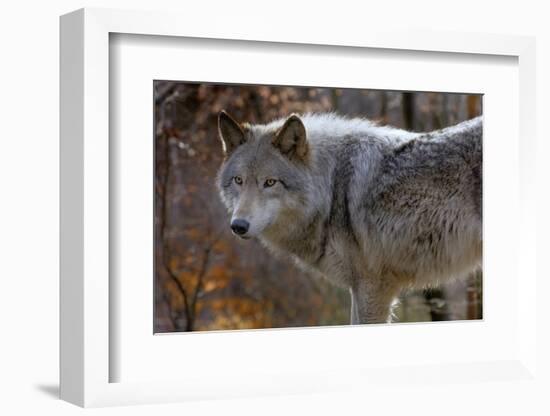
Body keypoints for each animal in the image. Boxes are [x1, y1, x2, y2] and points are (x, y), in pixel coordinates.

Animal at [216, 110, 484, 324]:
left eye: (270, 182)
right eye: (238, 180)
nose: (238, 226)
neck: (332, 188)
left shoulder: (373, 287)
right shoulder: (359, 288)